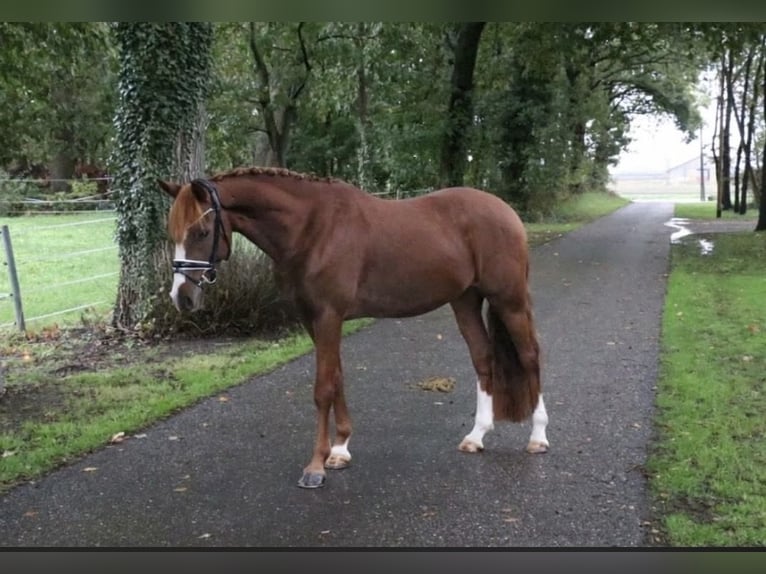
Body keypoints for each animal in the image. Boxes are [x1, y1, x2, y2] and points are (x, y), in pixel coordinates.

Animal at [157, 167, 549, 489]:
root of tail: (505, 210)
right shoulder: (313, 320)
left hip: (509, 300)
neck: (312, 229)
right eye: (173, 234)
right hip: (465, 300)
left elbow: (322, 389)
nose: (182, 298)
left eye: (202, 231)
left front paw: (315, 467)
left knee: (529, 357)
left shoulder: (329, 316)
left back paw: (538, 438)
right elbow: (338, 377)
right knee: (483, 358)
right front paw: (340, 449)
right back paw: (476, 436)